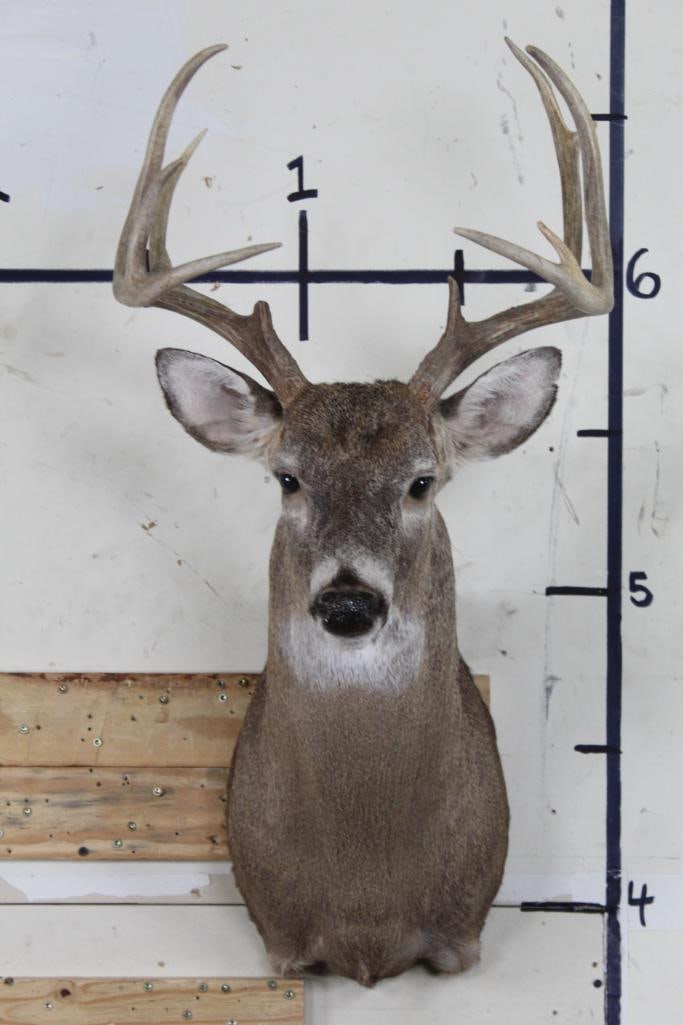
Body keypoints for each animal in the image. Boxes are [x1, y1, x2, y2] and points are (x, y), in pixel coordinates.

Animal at [113, 39, 613, 986]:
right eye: (286, 477)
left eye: (421, 481)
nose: (347, 602)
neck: (367, 907)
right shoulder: (276, 938)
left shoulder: (462, 938)